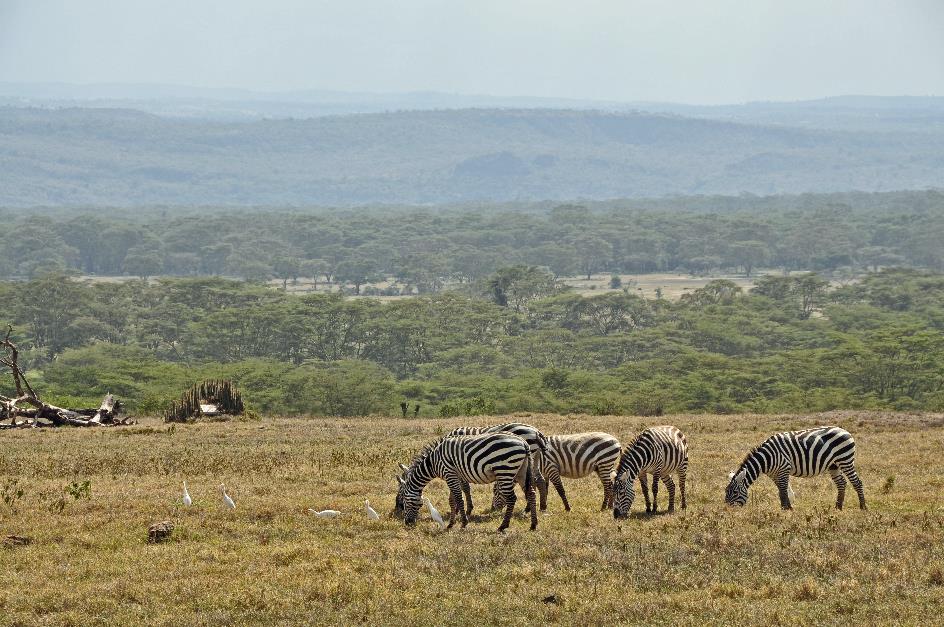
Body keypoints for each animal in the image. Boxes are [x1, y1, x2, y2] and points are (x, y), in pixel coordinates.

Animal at [392, 434, 540, 532]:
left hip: (505, 470)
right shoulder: (453, 476)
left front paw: (463, 523)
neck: (432, 463)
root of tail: (524, 443)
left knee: (511, 498)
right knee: (531, 493)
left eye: (404, 500)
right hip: (521, 471)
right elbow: (452, 500)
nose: (407, 523)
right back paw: (533, 525)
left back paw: (503, 526)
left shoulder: (449, 473)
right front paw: (451, 524)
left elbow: (458, 498)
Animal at [728, 426, 868, 510]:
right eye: (726, 492)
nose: (727, 511)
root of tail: (844, 430)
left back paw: (863, 507)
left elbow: (783, 491)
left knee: (857, 482)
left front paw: (786, 509)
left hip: (845, 460)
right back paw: (838, 507)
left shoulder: (784, 469)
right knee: (841, 483)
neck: (767, 459)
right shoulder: (775, 474)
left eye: (735, 493)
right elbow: (782, 491)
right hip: (834, 465)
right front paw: (787, 508)